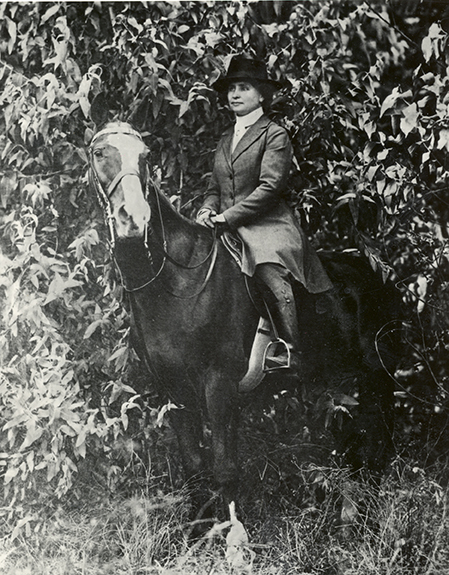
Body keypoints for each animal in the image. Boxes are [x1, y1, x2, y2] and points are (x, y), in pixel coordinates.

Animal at [87, 120, 400, 512]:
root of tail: (376, 276)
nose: (134, 220)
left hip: (376, 378)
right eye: (100, 154)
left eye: (144, 157)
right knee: (354, 445)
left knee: (377, 445)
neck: (178, 281)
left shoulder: (219, 385)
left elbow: (225, 471)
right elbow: (194, 468)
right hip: (340, 380)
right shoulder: (174, 390)